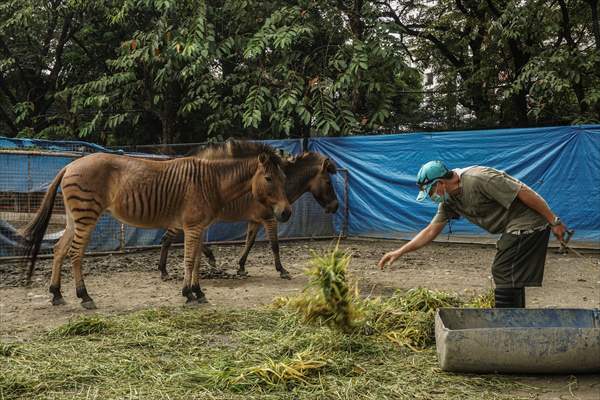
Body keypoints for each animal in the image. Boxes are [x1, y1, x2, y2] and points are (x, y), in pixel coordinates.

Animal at [19, 142, 290, 308]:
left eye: (284, 178)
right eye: (268, 178)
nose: (286, 213)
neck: (210, 181)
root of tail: (68, 165)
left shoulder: (200, 226)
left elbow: (197, 260)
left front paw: (199, 292)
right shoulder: (192, 225)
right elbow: (189, 260)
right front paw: (188, 294)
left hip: (73, 216)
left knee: (59, 249)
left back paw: (56, 294)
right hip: (87, 213)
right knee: (75, 253)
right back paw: (85, 297)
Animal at [158, 152, 338, 280]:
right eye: (328, 182)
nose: (335, 206)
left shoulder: (255, 220)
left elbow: (249, 243)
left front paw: (241, 267)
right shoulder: (269, 219)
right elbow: (274, 245)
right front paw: (282, 270)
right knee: (168, 238)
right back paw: (165, 271)